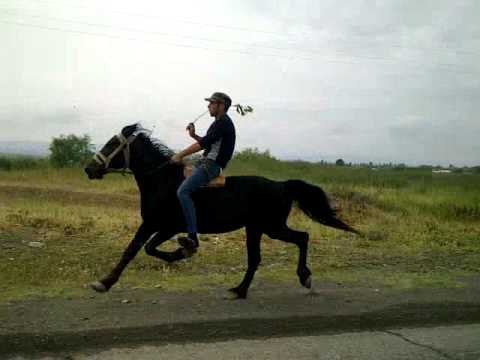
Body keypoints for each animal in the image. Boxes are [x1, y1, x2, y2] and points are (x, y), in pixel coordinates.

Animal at [84, 124, 358, 298]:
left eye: (112, 144)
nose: (89, 169)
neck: (162, 180)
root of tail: (281, 185)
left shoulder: (164, 226)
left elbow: (141, 249)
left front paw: (181, 252)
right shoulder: (156, 225)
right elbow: (137, 249)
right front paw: (105, 282)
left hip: (272, 227)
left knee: (302, 238)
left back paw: (304, 277)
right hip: (256, 228)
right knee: (257, 258)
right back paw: (240, 290)